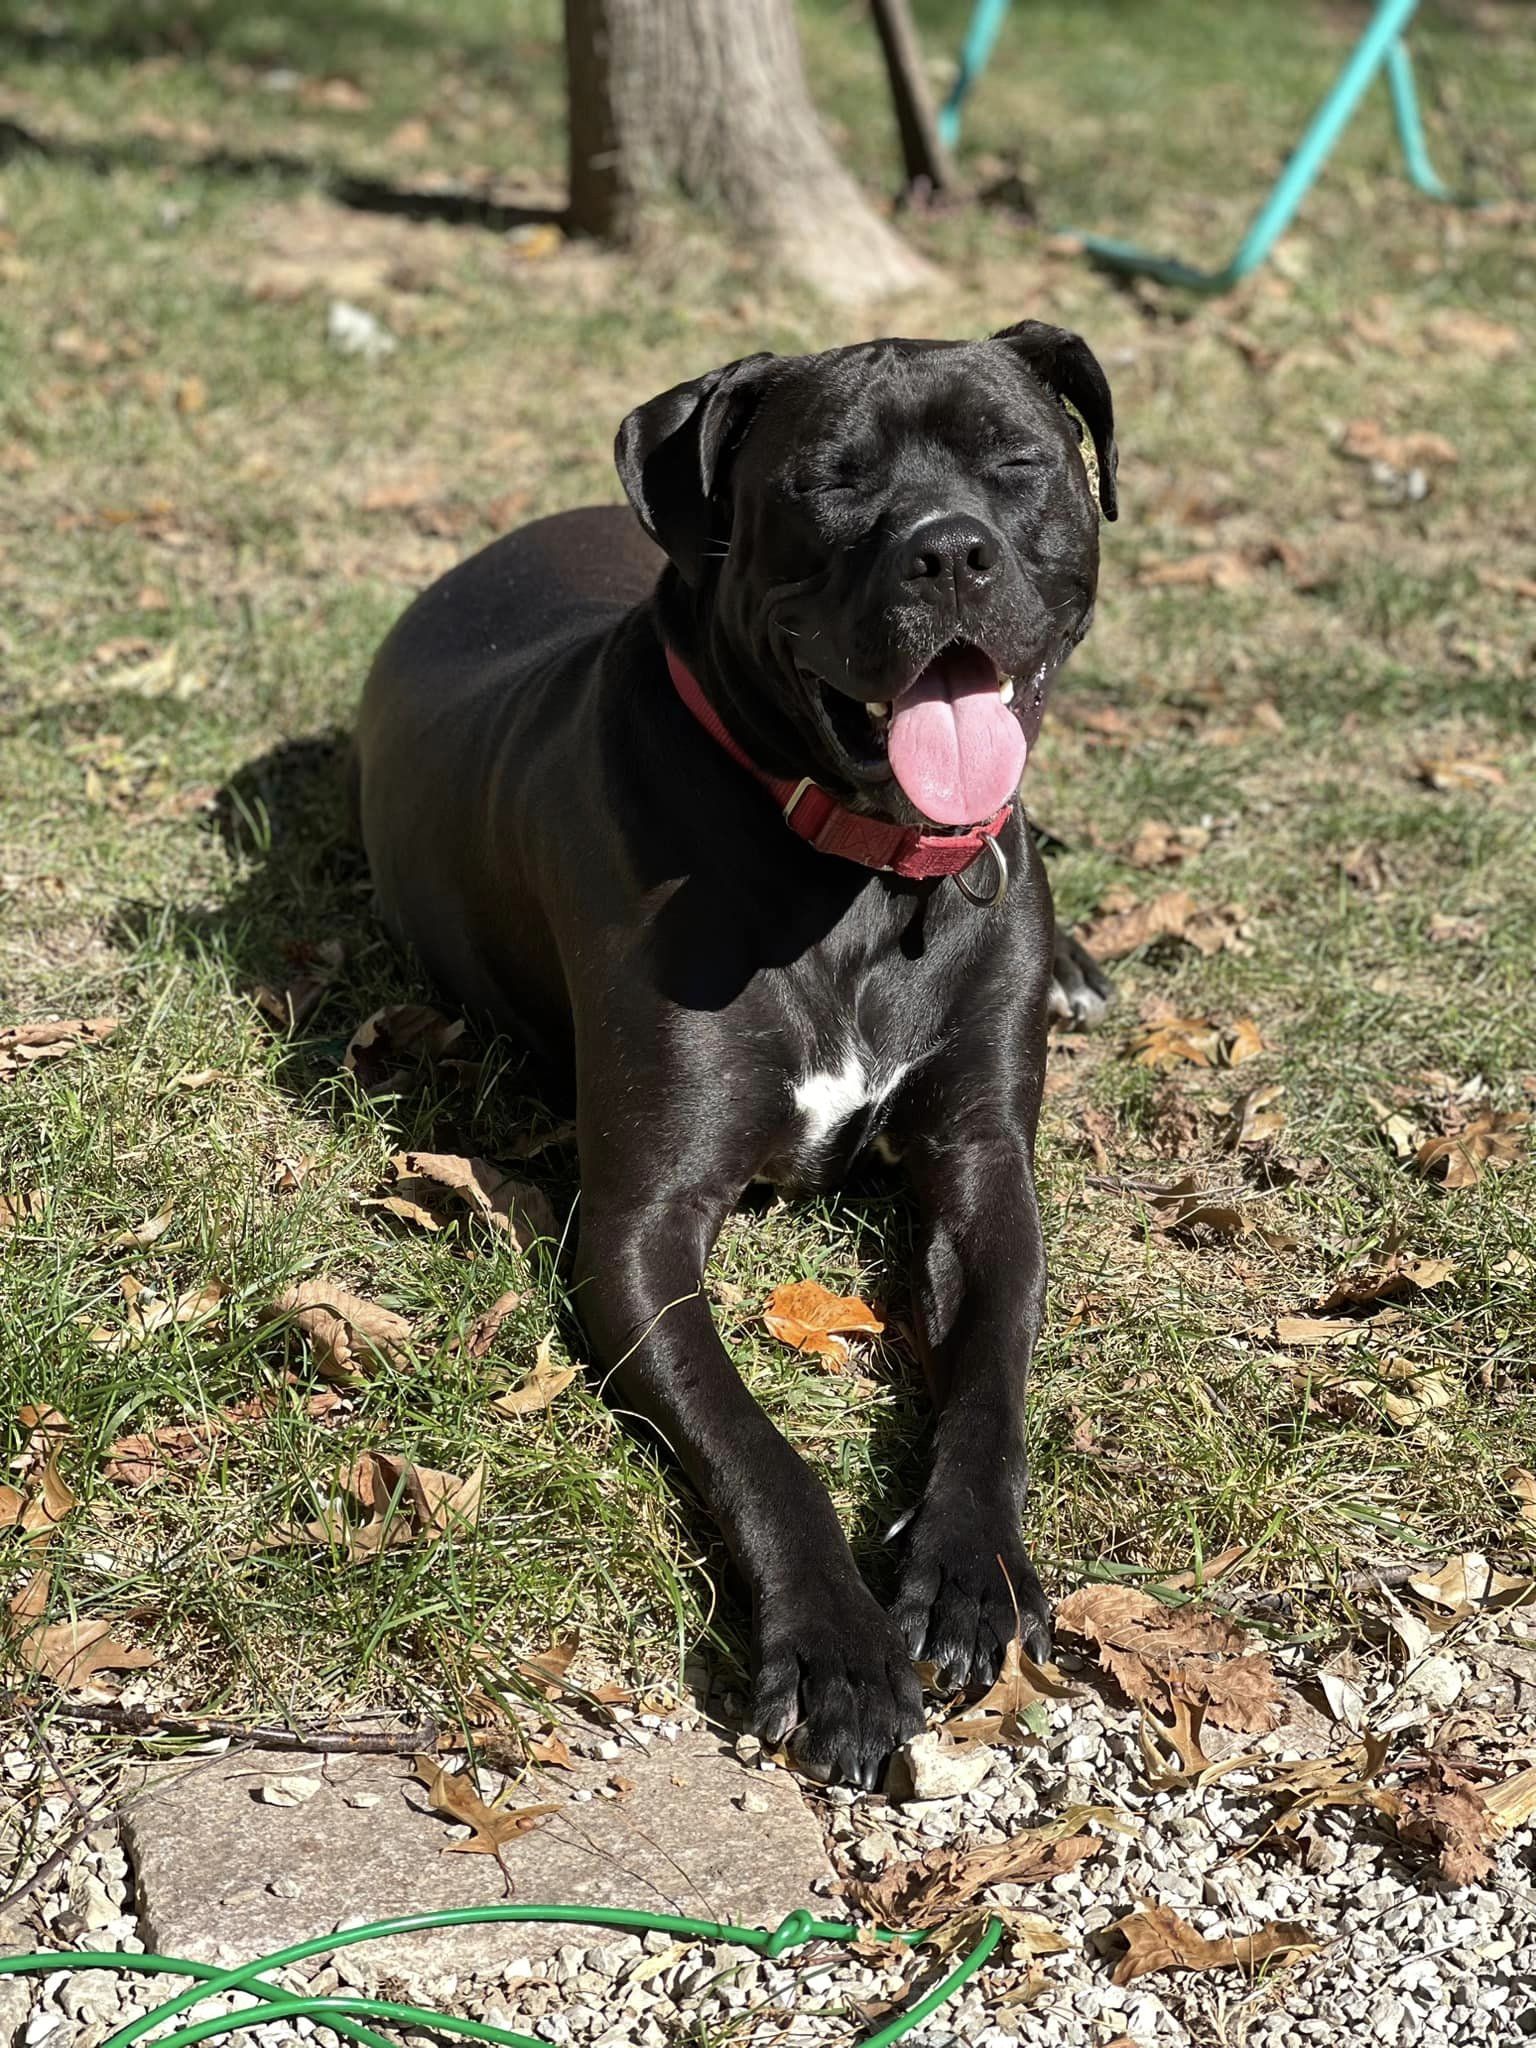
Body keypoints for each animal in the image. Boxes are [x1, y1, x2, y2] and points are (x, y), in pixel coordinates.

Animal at [358, 323, 1122, 1794]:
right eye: (831, 479)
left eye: (1016, 461)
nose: (949, 552)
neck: (857, 874)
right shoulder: (638, 1225)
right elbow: (758, 1446)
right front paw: (833, 1646)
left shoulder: (983, 1162)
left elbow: (991, 1372)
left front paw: (970, 1571)